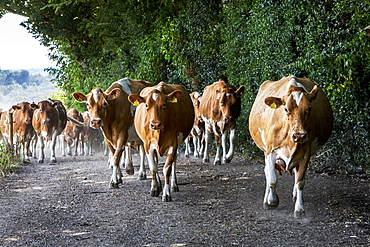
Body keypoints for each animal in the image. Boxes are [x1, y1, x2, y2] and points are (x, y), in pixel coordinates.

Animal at [249, 74, 332, 217]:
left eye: (309, 109)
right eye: (286, 109)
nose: (299, 135)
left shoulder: (305, 153)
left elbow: (300, 182)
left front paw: (299, 209)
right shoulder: (270, 151)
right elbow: (272, 179)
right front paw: (271, 200)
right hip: (265, 150)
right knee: (267, 173)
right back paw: (267, 198)